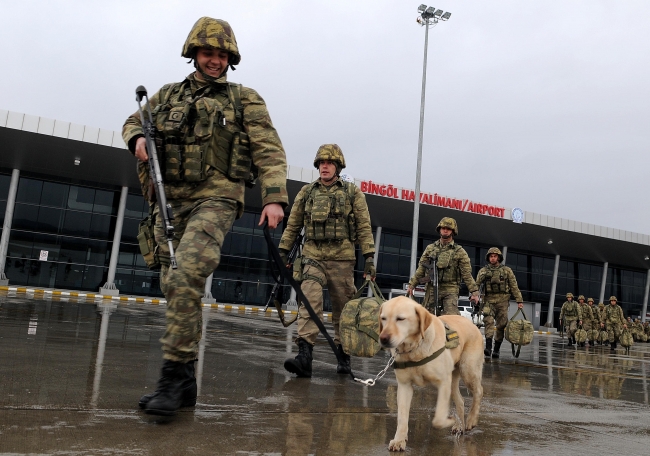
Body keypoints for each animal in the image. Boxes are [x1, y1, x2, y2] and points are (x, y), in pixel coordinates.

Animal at [380, 298, 480, 450]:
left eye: (400, 319)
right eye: (383, 318)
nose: (383, 338)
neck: (414, 349)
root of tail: (471, 322)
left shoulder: (443, 382)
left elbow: (438, 419)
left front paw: (449, 419)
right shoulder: (404, 386)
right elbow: (402, 416)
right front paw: (399, 440)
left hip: (468, 370)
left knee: (479, 391)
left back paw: (471, 420)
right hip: (453, 380)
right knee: (461, 400)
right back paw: (460, 425)